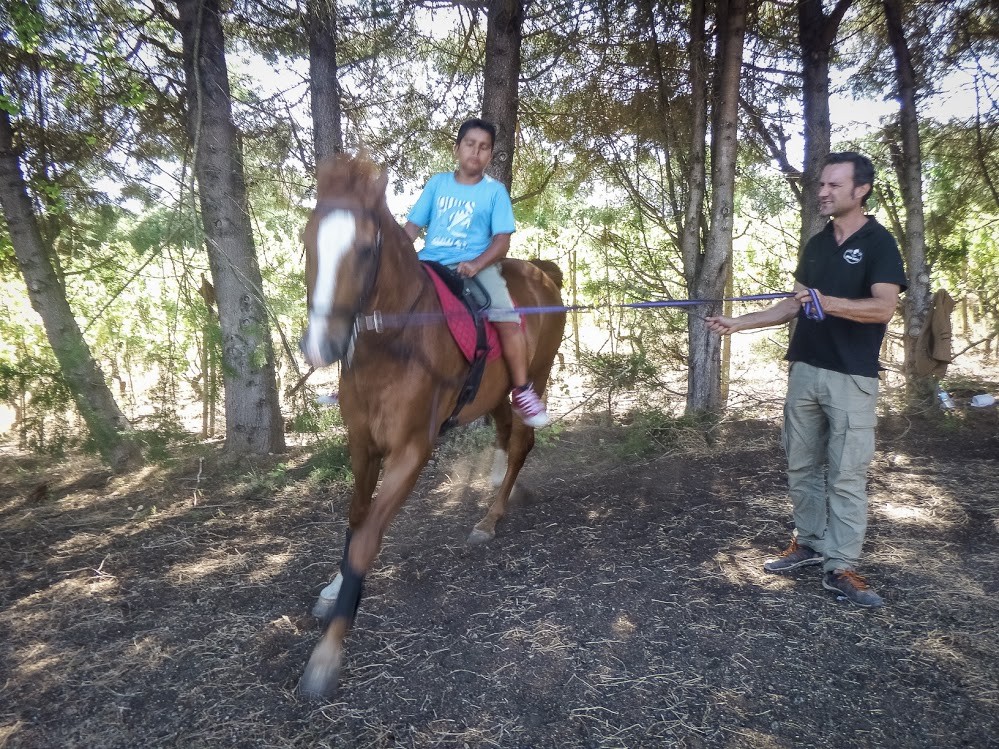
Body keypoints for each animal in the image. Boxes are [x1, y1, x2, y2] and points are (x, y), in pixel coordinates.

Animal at [297, 153, 566, 698]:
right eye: (307, 239)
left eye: (364, 248)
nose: (320, 345)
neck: (396, 341)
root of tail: (543, 272)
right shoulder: (362, 445)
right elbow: (355, 519)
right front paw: (334, 588)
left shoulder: (410, 452)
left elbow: (367, 539)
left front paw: (328, 652)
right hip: (494, 396)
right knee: (506, 438)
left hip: (535, 376)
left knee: (522, 441)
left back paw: (491, 517)